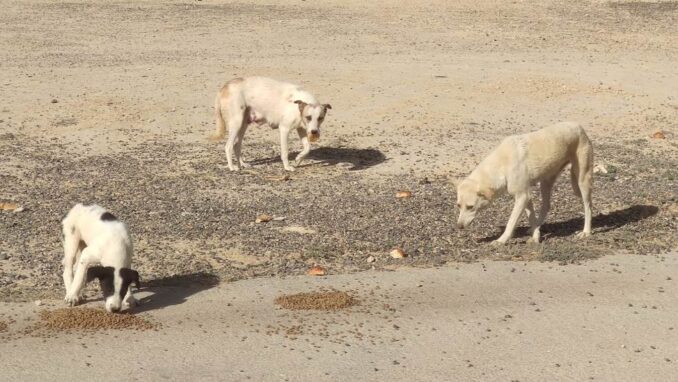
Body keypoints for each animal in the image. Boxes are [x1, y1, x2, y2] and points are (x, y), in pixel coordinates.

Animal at [456, 122, 596, 245]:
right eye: (458, 206)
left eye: (470, 207)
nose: (459, 226)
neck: (501, 164)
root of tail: (579, 126)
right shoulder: (526, 197)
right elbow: (531, 218)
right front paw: (536, 236)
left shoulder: (522, 196)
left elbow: (511, 222)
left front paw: (501, 240)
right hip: (546, 182)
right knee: (546, 205)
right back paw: (538, 225)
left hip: (582, 179)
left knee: (588, 206)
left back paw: (586, 232)